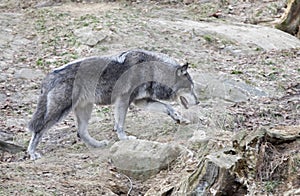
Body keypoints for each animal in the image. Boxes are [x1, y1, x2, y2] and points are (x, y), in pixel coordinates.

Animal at [26, 48, 199, 159]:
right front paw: (124, 138)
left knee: (81, 132)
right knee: (39, 130)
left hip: (85, 109)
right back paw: (32, 152)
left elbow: (167, 107)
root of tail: (49, 76)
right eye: (191, 88)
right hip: (59, 111)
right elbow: (121, 123)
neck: (152, 70)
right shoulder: (123, 100)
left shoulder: (141, 101)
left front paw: (179, 118)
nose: (198, 101)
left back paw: (98, 144)